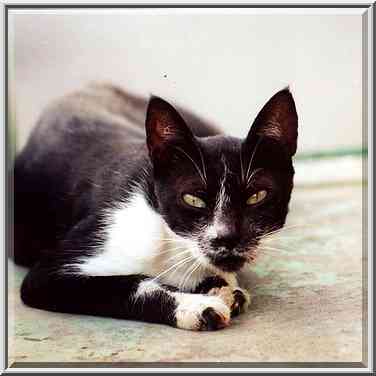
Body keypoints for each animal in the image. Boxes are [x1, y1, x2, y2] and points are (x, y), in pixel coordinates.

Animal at [13, 83, 298, 330]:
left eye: (257, 196)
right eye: (192, 199)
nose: (227, 238)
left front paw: (223, 287)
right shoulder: (48, 274)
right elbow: (127, 284)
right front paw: (196, 307)